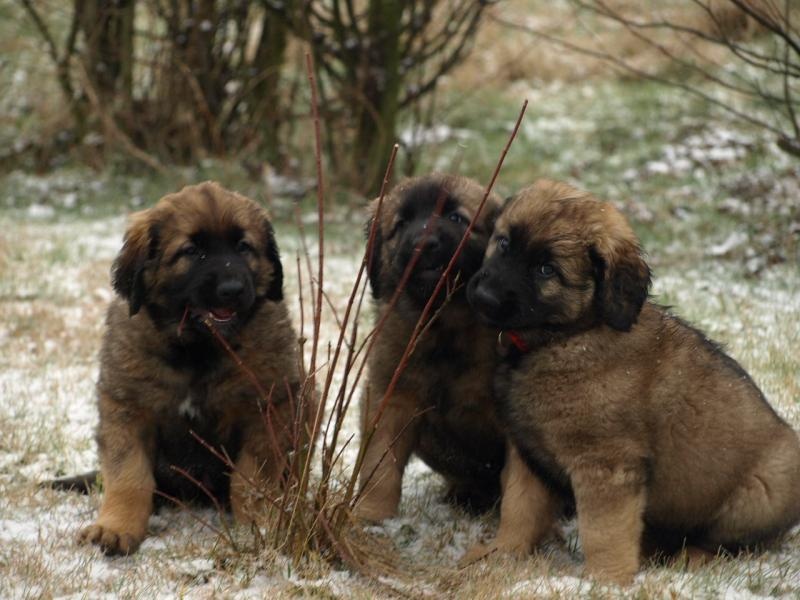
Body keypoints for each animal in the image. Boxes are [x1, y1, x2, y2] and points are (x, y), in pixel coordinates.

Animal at [73, 180, 314, 556]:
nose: (232, 289)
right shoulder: (127, 406)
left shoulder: (269, 408)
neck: (198, 348)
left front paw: (261, 525)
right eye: (191, 251)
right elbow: (129, 477)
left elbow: (252, 480)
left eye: (243, 247)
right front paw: (115, 528)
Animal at [358, 172, 506, 520]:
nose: (423, 244)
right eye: (400, 225)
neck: (443, 323)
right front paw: (371, 514)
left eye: (457, 218)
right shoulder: (391, 396)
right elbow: (379, 461)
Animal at [462, 178, 800, 580]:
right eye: (503, 243)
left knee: (731, 544)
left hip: (756, 494)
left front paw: (604, 580)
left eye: (546, 270)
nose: (483, 296)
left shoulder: (607, 463)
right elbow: (518, 507)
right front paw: (501, 555)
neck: (567, 336)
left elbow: (603, 531)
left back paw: (690, 557)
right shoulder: (526, 453)